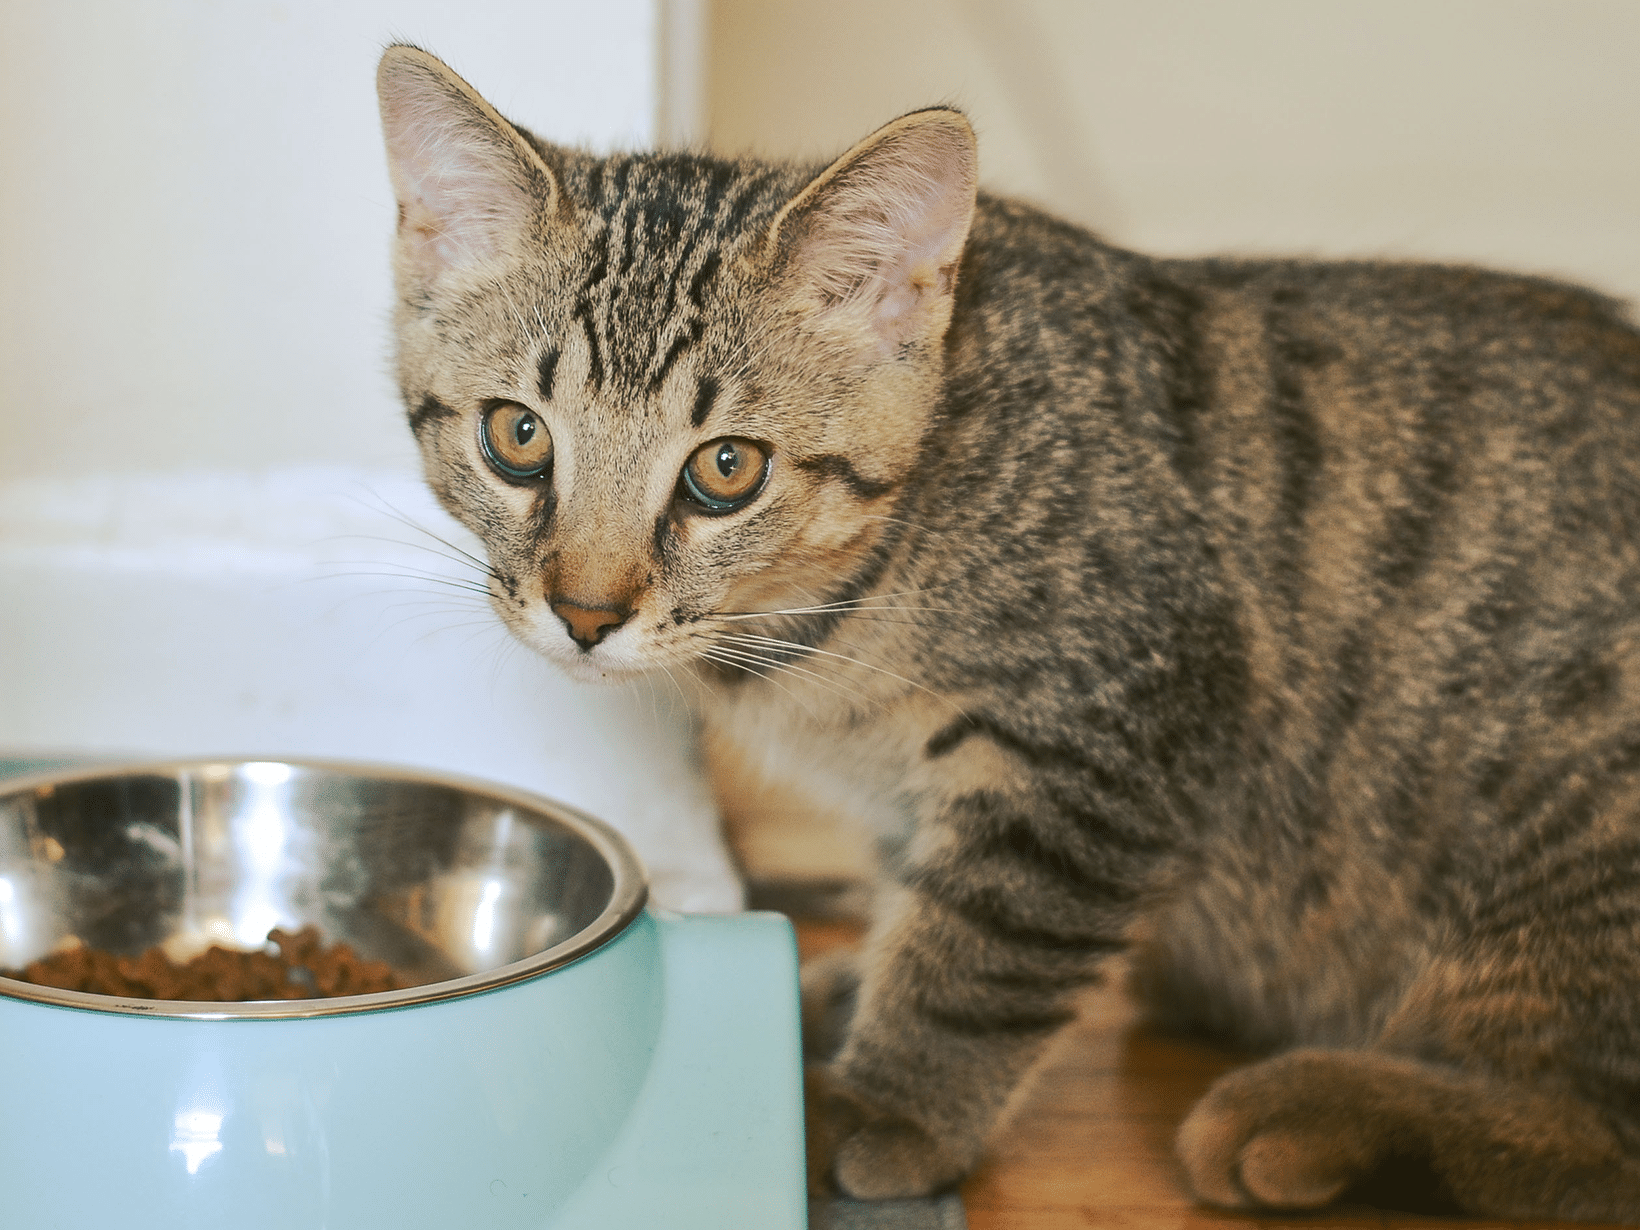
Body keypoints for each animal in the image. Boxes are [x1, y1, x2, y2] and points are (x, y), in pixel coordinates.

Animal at [377, 43, 1640, 1220]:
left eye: (725, 469)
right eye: (517, 438)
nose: (586, 614)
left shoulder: (1117, 719)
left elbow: (983, 944)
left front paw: (881, 1101)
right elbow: (917, 888)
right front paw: (849, 992)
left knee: (1601, 1142)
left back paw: (1313, 1114)